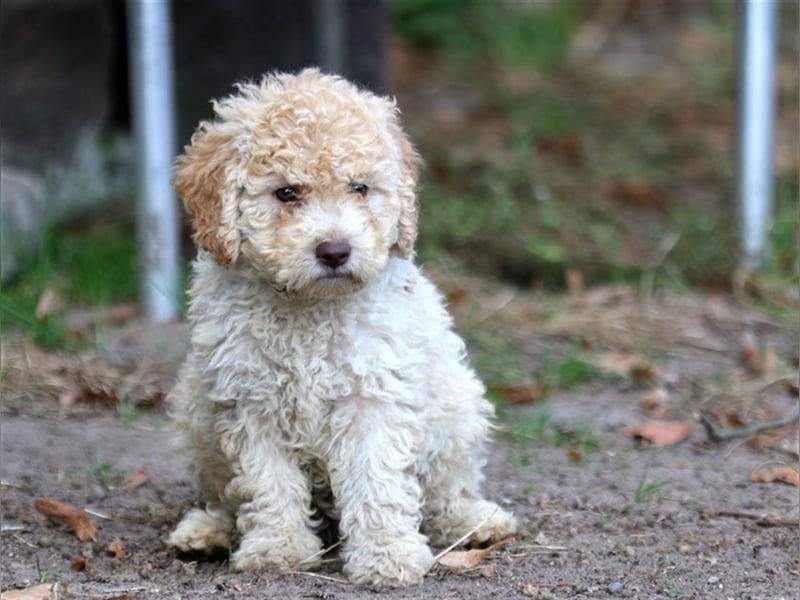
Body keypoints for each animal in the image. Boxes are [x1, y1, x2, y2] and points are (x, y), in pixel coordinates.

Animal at [169, 67, 520, 584]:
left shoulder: (371, 395)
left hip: (456, 407)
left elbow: (377, 481)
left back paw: (473, 521)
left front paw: (387, 556)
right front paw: (277, 547)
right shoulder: (250, 400)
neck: (309, 308)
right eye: (286, 192)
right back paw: (207, 531)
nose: (335, 250)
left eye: (359, 188)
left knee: (447, 487)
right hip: (195, 412)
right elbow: (266, 482)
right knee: (224, 496)